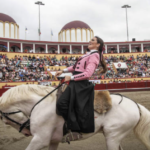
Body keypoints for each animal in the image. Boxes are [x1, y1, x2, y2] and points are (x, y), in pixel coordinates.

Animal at [0, 84, 150, 150]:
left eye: (6, 121)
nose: (27, 132)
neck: (41, 104)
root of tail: (135, 104)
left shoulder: (40, 140)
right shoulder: (52, 141)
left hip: (112, 137)